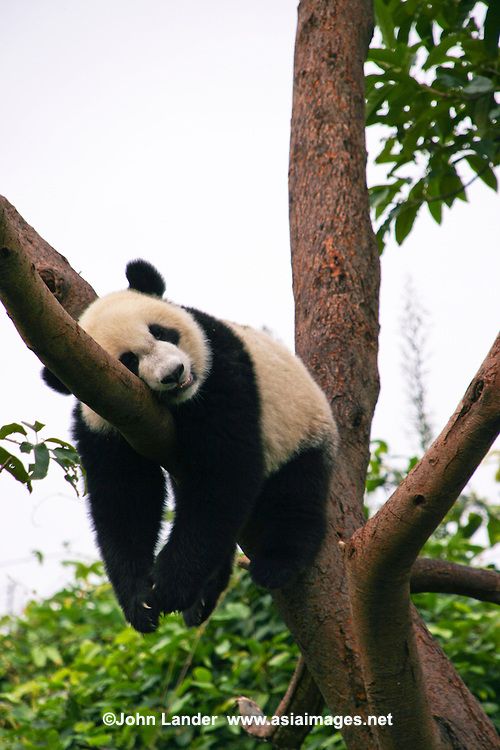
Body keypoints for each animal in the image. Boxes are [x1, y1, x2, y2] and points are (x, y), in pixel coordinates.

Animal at [43, 262, 338, 632]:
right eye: (128, 361)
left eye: (161, 332)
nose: (174, 373)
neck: (179, 404)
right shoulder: (105, 419)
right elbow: (124, 498)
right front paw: (140, 600)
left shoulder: (221, 369)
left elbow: (225, 473)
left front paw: (169, 587)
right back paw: (203, 600)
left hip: (301, 426)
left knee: (295, 492)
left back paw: (276, 563)